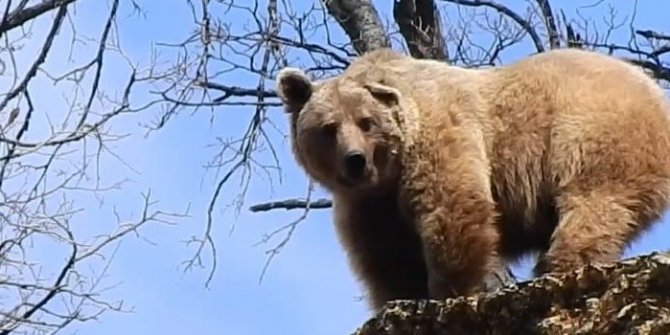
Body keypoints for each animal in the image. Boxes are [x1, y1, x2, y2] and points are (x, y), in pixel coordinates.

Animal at [272, 48, 670, 312]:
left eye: (366, 122)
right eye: (328, 128)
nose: (355, 160)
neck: (388, 172)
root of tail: (654, 89)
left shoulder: (439, 138)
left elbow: (452, 208)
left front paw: (448, 294)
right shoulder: (369, 206)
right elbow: (387, 255)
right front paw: (400, 298)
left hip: (593, 129)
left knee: (594, 202)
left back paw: (558, 267)